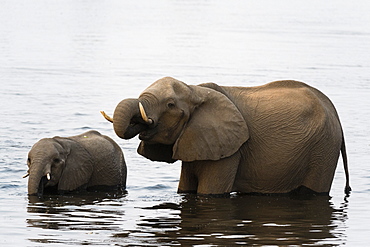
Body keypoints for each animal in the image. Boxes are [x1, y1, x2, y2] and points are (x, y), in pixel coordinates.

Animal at [101, 76, 350, 196]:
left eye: (170, 105)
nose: (140, 122)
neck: (195, 89)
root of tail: (335, 113)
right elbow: (185, 189)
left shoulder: (230, 150)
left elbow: (210, 193)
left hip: (324, 149)